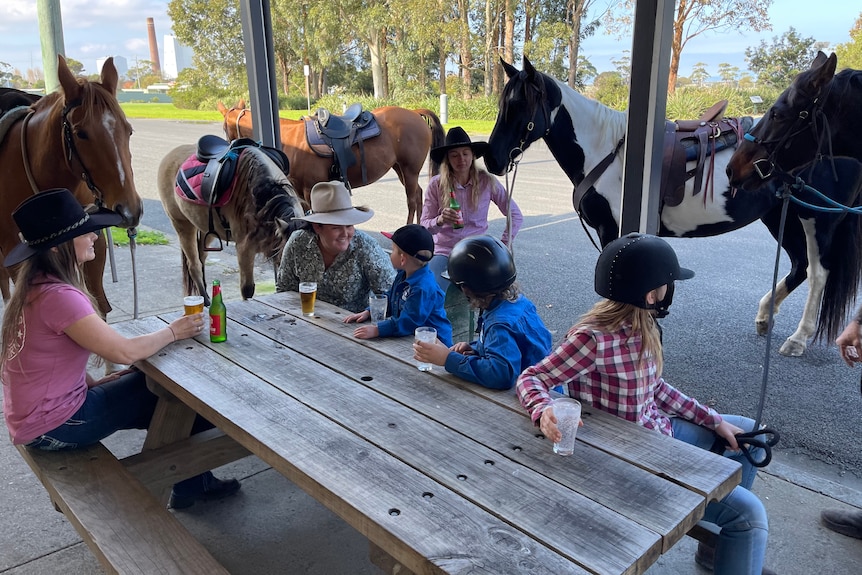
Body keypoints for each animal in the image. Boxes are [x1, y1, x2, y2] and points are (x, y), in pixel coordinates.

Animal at [0, 56, 143, 318]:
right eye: (81, 133)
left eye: (128, 130)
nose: (129, 210)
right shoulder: (15, 255)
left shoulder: (94, 245)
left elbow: (97, 304)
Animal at [159, 144, 308, 304]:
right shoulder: (245, 249)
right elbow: (247, 289)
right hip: (182, 225)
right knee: (194, 266)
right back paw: (206, 302)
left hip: (206, 230)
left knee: (201, 258)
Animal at [218, 101, 446, 223]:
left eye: (224, 127)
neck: (291, 139)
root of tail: (415, 113)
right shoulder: (299, 190)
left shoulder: (310, 188)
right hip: (400, 169)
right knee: (418, 195)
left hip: (409, 170)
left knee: (412, 199)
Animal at [486, 58, 832, 356]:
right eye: (502, 103)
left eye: (520, 104)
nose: (493, 159)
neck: (606, 152)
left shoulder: (611, 230)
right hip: (780, 216)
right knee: (800, 266)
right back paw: (765, 317)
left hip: (814, 218)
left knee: (818, 274)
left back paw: (798, 338)